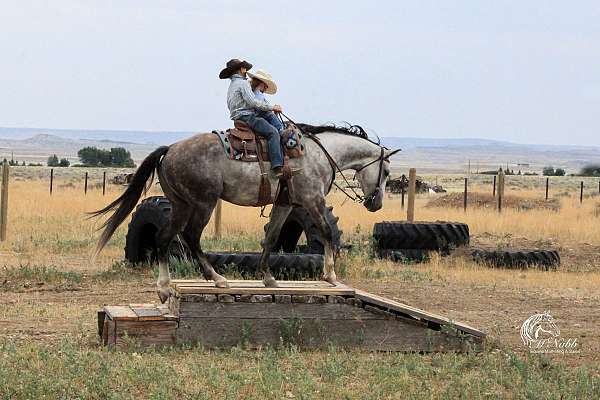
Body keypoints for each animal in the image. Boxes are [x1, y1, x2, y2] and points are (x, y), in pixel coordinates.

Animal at [92, 123, 398, 302]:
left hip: (181, 204)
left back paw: (168, 287)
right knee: (188, 237)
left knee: (166, 238)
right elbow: (325, 232)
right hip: (202, 204)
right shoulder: (312, 200)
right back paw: (212, 279)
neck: (319, 154)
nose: (376, 204)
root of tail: (170, 149)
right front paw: (330, 276)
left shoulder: (286, 204)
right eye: (386, 171)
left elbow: (272, 237)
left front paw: (268, 278)